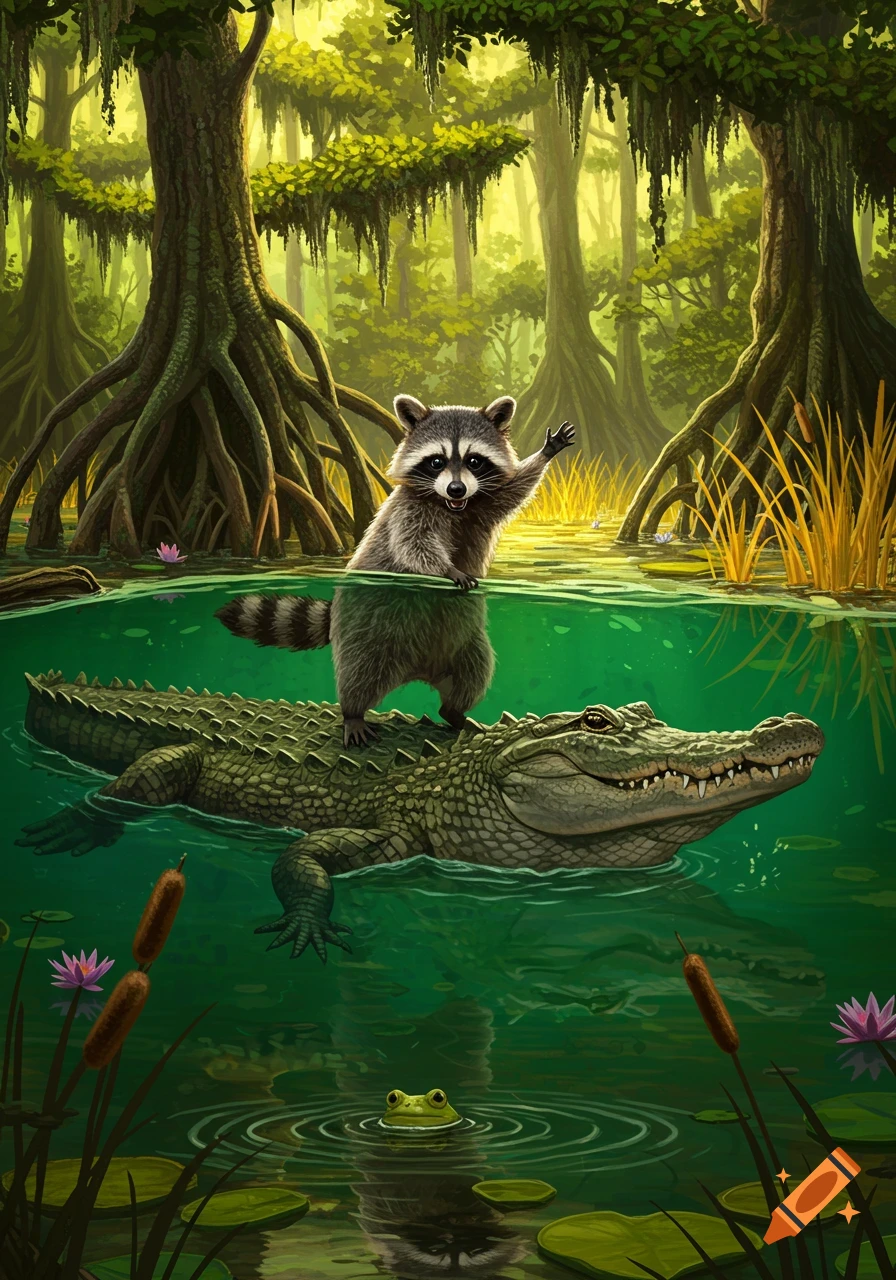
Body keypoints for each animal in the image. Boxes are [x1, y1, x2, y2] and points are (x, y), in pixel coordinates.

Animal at [216, 583, 494, 746]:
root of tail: (420, 671)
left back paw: (453, 711)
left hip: (462, 651)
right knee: (363, 675)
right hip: (376, 639)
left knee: (474, 672)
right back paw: (353, 713)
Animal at [348, 393, 576, 590]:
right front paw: (448, 569)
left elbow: (514, 489)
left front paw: (546, 452)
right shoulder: (407, 508)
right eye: (437, 462)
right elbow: (412, 543)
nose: (456, 489)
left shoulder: (484, 503)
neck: (453, 507)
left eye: (474, 461)